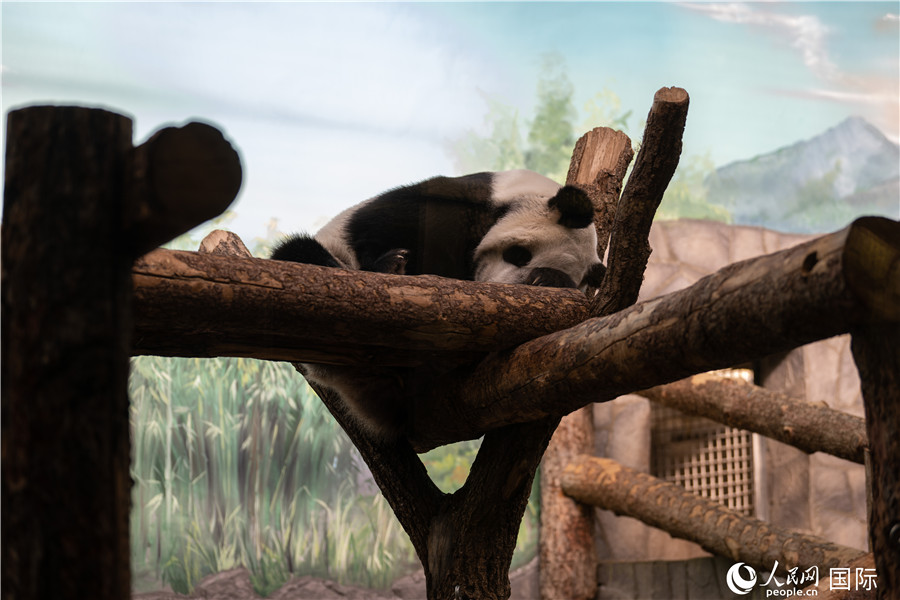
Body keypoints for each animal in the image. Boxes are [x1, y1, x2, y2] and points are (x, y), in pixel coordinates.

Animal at [272, 169, 606, 438]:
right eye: (518, 254)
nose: (505, 289)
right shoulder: (455, 202)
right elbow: (383, 227)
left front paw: (546, 279)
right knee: (298, 251)